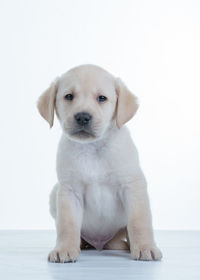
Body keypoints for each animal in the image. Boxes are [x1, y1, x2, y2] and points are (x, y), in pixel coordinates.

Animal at [37, 64, 162, 264]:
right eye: (69, 96)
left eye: (102, 98)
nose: (82, 117)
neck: (92, 147)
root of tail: (101, 244)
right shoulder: (69, 191)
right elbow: (67, 225)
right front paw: (64, 249)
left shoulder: (133, 186)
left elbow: (138, 222)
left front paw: (145, 247)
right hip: (54, 193)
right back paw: (81, 244)